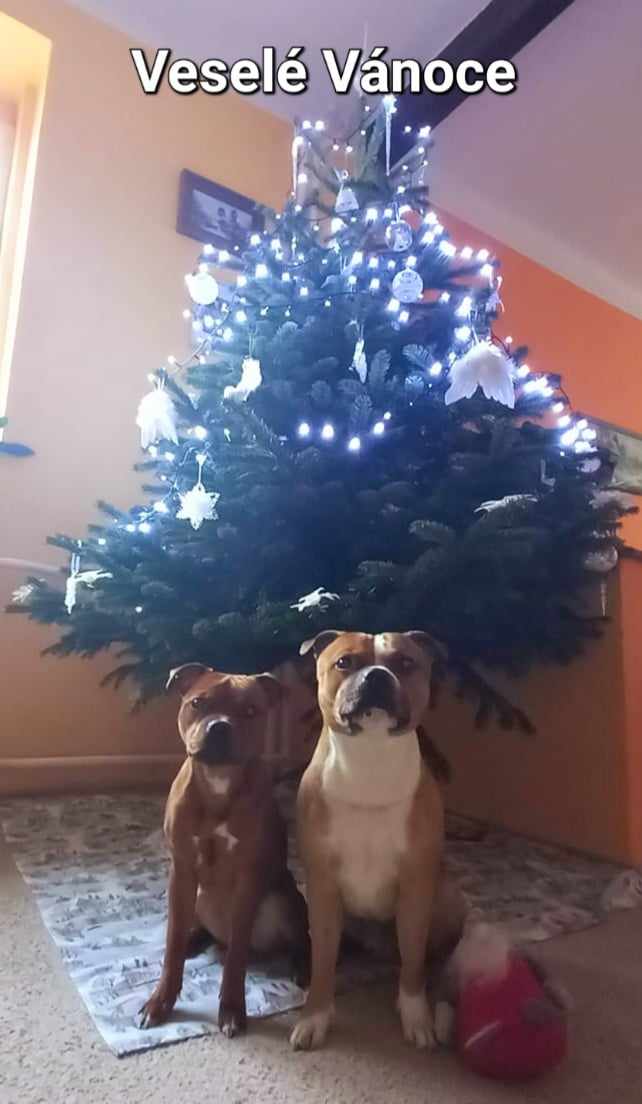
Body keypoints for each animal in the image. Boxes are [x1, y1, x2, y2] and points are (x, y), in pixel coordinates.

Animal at [138, 663, 309, 1038]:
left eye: (251, 711)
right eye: (198, 703)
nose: (219, 726)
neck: (217, 782)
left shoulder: (247, 881)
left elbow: (236, 960)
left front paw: (231, 1008)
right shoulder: (182, 873)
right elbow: (172, 944)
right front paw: (161, 1000)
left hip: (283, 898)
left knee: (298, 936)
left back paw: (302, 966)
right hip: (199, 896)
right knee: (197, 929)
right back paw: (193, 941)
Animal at [290, 630, 465, 1052]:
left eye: (405, 663)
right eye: (344, 662)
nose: (377, 676)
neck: (368, 762)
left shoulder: (416, 889)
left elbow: (414, 960)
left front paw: (416, 1015)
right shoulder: (322, 889)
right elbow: (323, 960)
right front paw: (315, 1015)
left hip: (446, 895)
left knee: (429, 953)